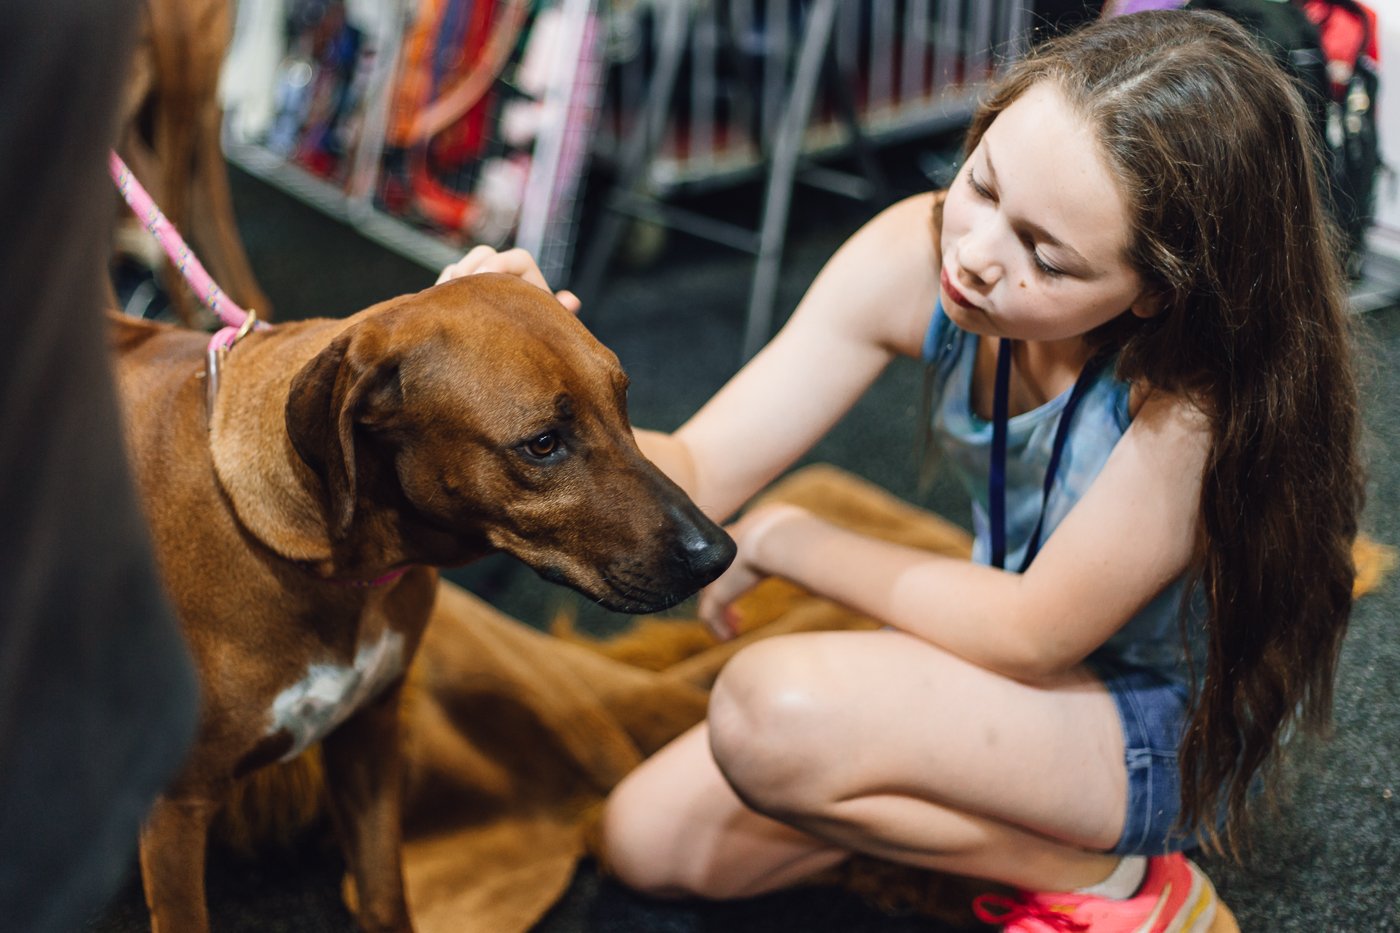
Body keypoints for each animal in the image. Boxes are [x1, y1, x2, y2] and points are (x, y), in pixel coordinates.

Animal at [112, 273, 733, 924]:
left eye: (623, 402)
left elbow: (385, 894)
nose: (719, 553)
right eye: (542, 444)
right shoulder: (177, 810)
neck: (340, 567)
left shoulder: (370, 738)